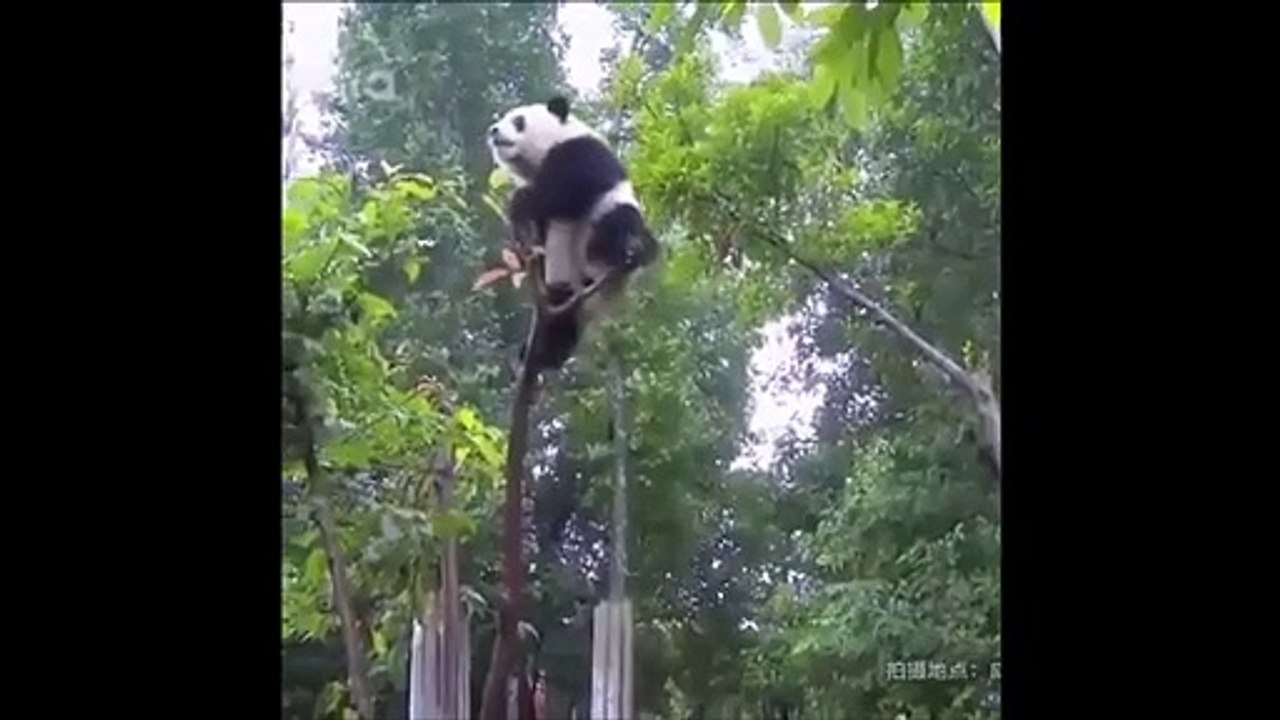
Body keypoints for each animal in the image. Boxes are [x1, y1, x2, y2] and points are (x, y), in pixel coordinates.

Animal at [487, 95, 659, 373]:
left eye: (518, 121)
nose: (494, 131)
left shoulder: (580, 153)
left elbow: (565, 193)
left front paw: (521, 201)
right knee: (562, 323)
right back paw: (544, 352)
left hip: (612, 224)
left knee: (620, 224)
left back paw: (626, 250)